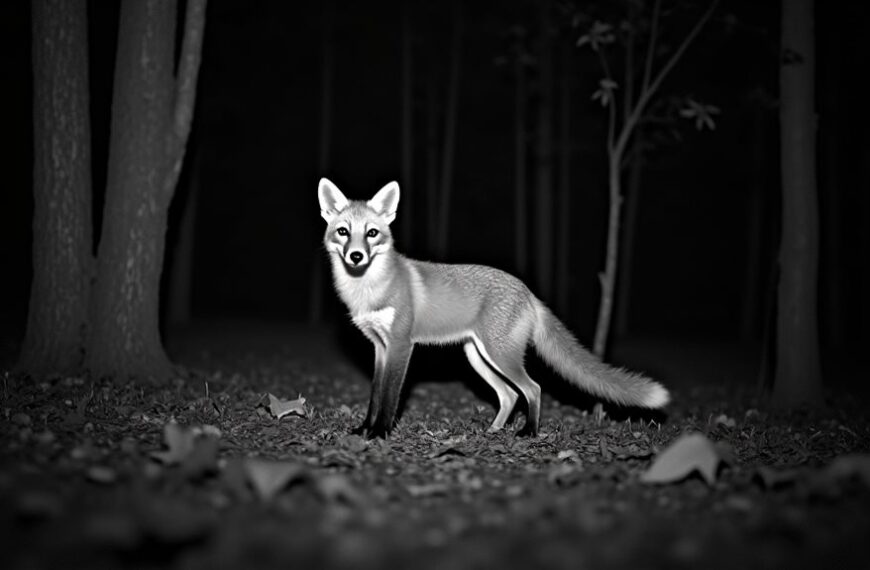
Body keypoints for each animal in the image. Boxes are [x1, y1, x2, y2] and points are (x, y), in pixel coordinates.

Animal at [318, 177, 670, 439]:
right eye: (343, 232)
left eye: (372, 233)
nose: (356, 257)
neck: (370, 290)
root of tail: (529, 292)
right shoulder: (380, 346)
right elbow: (374, 395)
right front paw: (364, 429)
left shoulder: (401, 345)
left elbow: (390, 397)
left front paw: (380, 433)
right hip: (478, 356)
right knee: (510, 395)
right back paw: (494, 430)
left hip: (500, 354)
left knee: (533, 388)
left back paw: (529, 432)